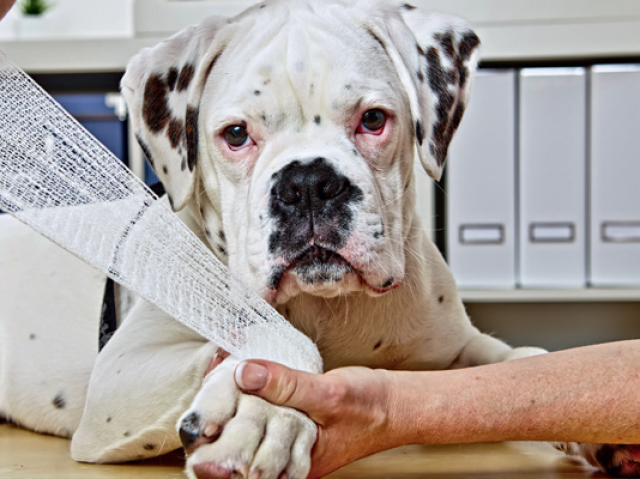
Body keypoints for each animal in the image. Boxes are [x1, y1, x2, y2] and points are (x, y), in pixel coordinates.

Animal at [0, 0, 632, 479]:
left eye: (373, 119)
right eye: (236, 134)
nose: (307, 184)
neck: (330, 308)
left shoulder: (460, 355)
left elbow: (527, 364)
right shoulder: (118, 382)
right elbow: (269, 339)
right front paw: (262, 418)